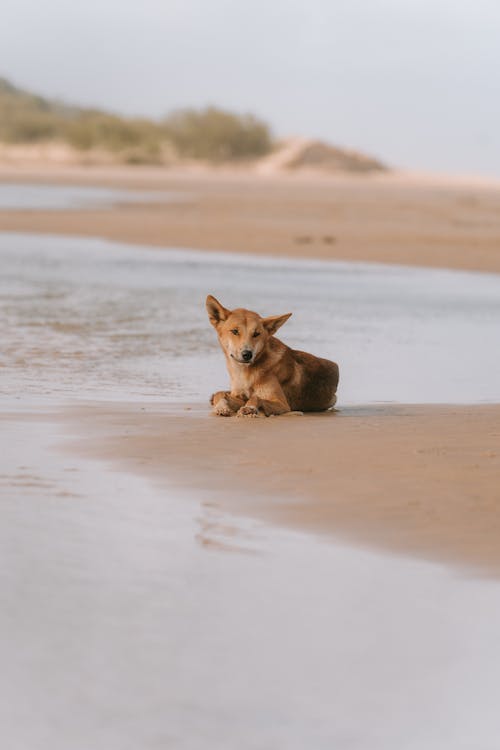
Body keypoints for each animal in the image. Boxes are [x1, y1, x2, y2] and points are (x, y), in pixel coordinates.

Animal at [205, 296, 338, 418]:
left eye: (256, 334)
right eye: (234, 331)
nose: (247, 354)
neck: (245, 373)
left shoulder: (282, 404)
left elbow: (256, 397)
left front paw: (250, 408)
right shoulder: (238, 396)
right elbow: (220, 394)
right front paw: (221, 407)